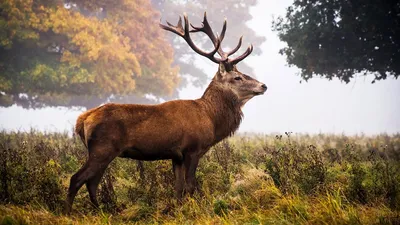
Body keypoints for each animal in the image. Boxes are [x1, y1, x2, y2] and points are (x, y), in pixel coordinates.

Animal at [64, 12, 268, 214]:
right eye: (237, 77)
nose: (263, 85)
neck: (210, 119)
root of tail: (82, 119)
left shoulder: (176, 156)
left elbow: (178, 188)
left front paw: (177, 210)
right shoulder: (192, 149)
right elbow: (190, 185)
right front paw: (192, 211)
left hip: (102, 151)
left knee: (92, 182)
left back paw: (102, 210)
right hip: (102, 148)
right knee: (77, 179)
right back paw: (68, 212)